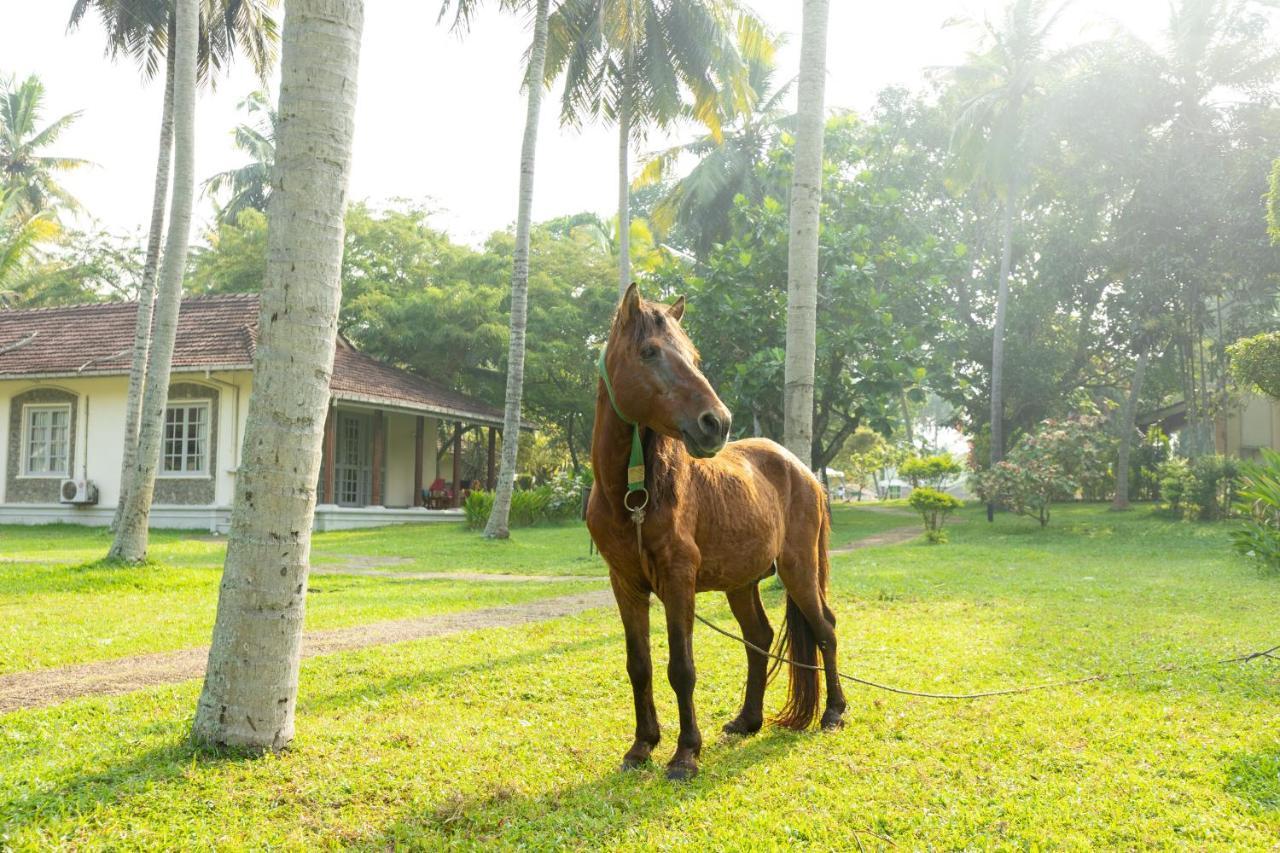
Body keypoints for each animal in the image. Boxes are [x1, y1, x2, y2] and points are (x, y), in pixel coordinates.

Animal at [586, 284, 844, 778]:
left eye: (693, 356)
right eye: (649, 352)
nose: (716, 423)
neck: (633, 496)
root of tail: (801, 469)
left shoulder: (678, 580)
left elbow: (681, 668)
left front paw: (685, 754)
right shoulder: (625, 583)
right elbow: (639, 665)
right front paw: (641, 747)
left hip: (799, 569)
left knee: (824, 628)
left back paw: (834, 712)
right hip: (741, 582)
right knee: (759, 639)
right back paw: (748, 720)